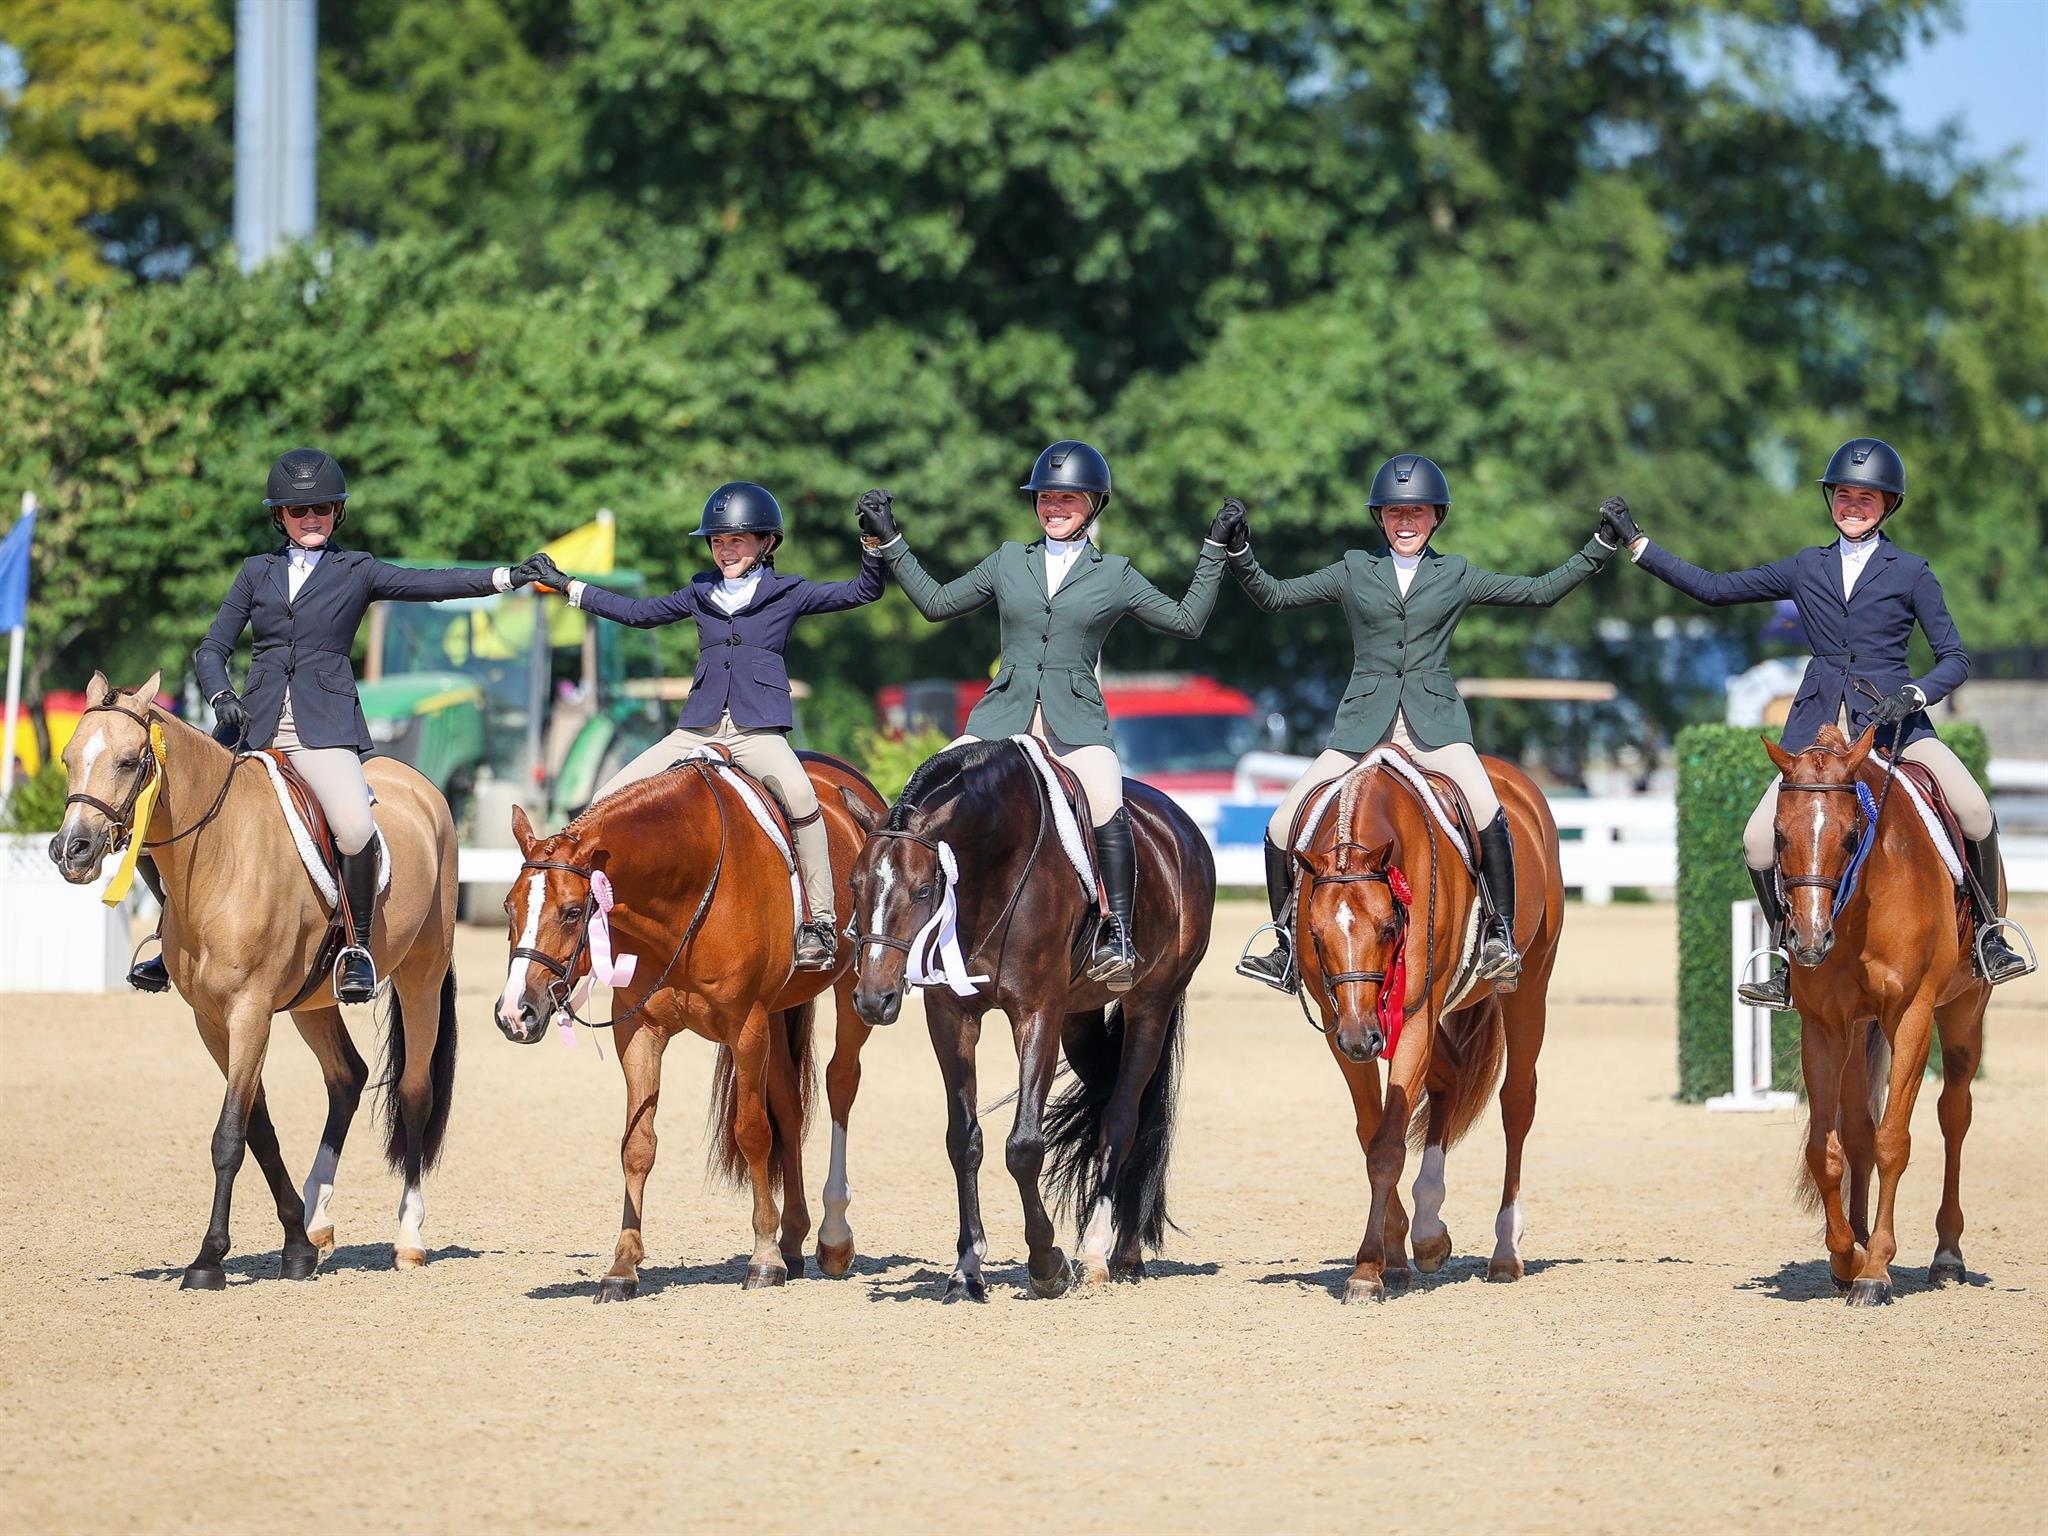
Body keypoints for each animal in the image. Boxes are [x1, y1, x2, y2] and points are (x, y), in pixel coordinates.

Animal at [48, 672, 462, 1289]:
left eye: (126, 762)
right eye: (68, 758)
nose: (70, 851)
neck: (217, 856)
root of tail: (425, 790)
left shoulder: (249, 1010)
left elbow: (229, 1136)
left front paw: (208, 1260)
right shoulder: (213, 1021)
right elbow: (256, 1127)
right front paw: (296, 1245)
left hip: (421, 976)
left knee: (413, 1090)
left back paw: (408, 1237)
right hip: (314, 1000)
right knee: (347, 1077)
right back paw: (318, 1218)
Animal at [494, 751, 888, 1299]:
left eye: (573, 912)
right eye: (508, 907)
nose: (515, 1013)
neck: (685, 889)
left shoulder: (746, 1026)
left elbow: (752, 1132)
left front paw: (762, 1258)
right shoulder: (638, 1031)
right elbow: (638, 1144)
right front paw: (623, 1265)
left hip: (851, 991)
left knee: (839, 1087)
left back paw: (831, 1241)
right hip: (776, 1016)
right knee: (788, 1109)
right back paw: (793, 1240)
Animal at [847, 740, 1215, 1301]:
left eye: (923, 890)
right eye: (855, 884)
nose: (874, 999)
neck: (990, 868)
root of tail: (1179, 825)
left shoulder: (1038, 1012)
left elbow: (1023, 1146)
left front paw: (1047, 1264)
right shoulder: (951, 1016)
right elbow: (964, 1141)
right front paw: (966, 1271)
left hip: (1151, 1005)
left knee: (1123, 1118)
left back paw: (1101, 1256)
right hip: (1080, 1021)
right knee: (1112, 1105)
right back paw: (1124, 1251)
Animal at [1286, 752, 1563, 1303]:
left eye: (1389, 929)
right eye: (1314, 934)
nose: (1362, 1039)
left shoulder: (1414, 1016)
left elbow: (1388, 1146)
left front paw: (1366, 1270)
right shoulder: (1338, 1023)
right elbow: (1372, 1133)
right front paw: (1391, 1255)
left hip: (1529, 987)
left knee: (1517, 1103)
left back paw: (1506, 1251)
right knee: (1448, 1080)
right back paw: (1428, 1232)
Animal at [1764, 724, 1991, 1305]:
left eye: (1851, 837)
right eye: (1778, 835)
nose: (1810, 941)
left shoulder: (1911, 1015)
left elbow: (1895, 1141)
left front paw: (1875, 1273)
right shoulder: (1825, 1027)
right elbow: (1827, 1150)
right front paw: (1847, 1257)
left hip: (1962, 1014)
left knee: (1954, 1116)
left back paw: (1947, 1256)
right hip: (1858, 1031)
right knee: (1859, 1131)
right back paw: (1860, 1240)